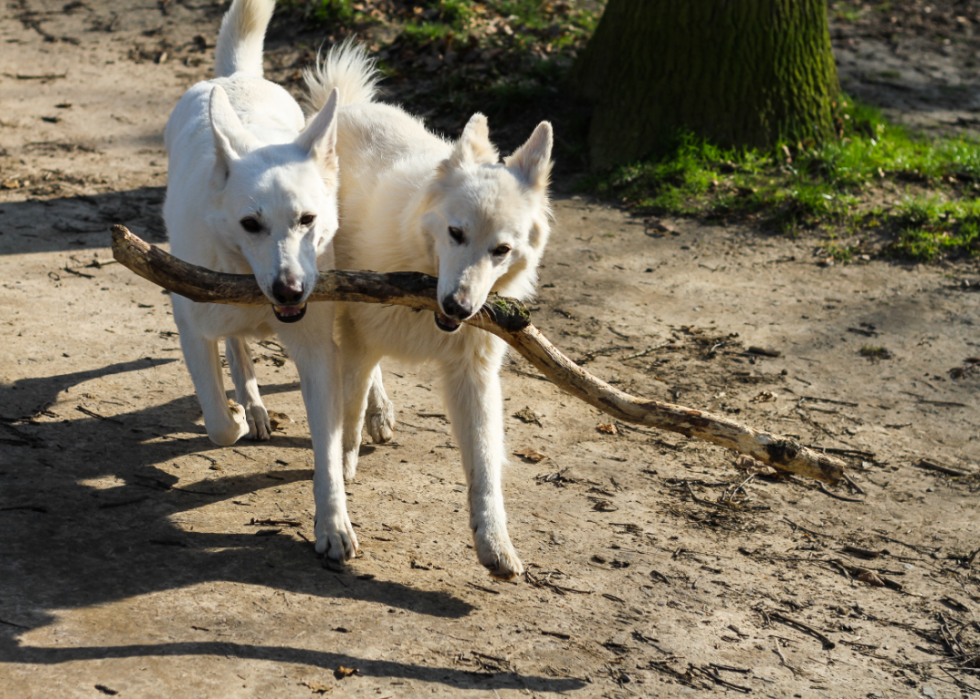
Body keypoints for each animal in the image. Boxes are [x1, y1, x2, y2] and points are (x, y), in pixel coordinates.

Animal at [164, 0, 356, 560]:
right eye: (251, 224)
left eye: (307, 220)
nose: (290, 290)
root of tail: (235, 78)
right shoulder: (190, 325)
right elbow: (216, 422)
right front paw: (236, 414)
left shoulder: (316, 351)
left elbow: (328, 452)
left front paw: (332, 524)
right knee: (235, 347)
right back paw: (250, 404)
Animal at [306, 42, 552, 580]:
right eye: (456, 233)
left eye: (501, 249)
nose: (458, 305)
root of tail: (351, 106)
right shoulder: (359, 335)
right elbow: (347, 407)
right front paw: (344, 466)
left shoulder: (473, 377)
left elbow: (485, 468)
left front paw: (495, 543)